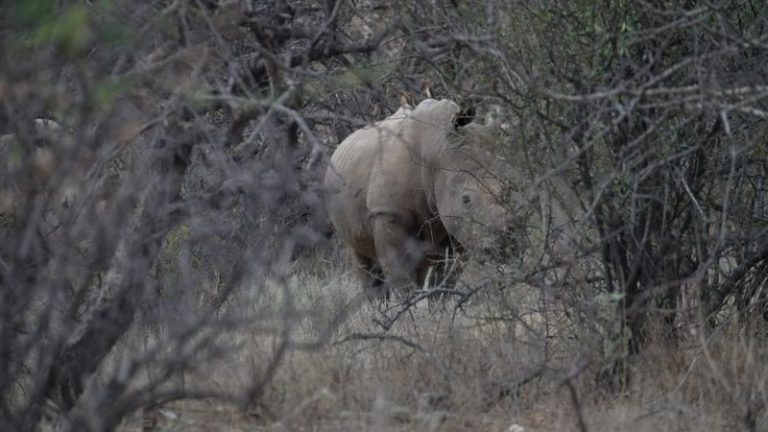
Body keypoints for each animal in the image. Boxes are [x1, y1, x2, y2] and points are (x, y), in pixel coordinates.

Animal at [324, 98, 513, 298]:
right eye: (466, 199)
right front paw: (408, 305)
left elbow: (445, 279)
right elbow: (401, 277)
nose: (505, 243)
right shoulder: (387, 213)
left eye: (509, 190)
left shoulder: (460, 226)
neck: (436, 150)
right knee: (363, 261)